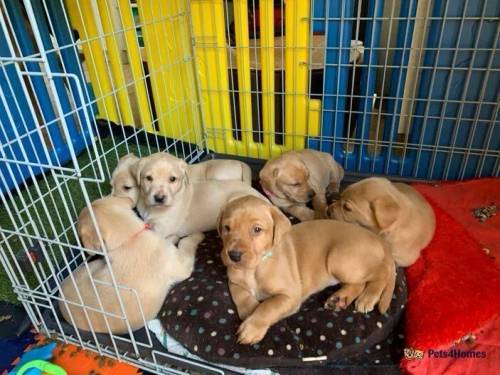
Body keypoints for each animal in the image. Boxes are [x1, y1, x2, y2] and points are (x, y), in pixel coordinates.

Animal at [59, 195, 204, 334]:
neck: (129, 239)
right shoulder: (181, 265)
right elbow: (186, 243)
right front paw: (197, 235)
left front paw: (173, 237)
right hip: (92, 266)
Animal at [218, 195, 394, 346]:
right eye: (227, 227)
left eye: (257, 229)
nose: (233, 255)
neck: (255, 268)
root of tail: (375, 237)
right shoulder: (233, 282)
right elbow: (241, 295)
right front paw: (249, 311)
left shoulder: (290, 295)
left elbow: (269, 306)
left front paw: (252, 327)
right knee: (359, 283)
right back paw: (339, 299)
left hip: (339, 259)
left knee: (382, 272)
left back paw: (368, 297)